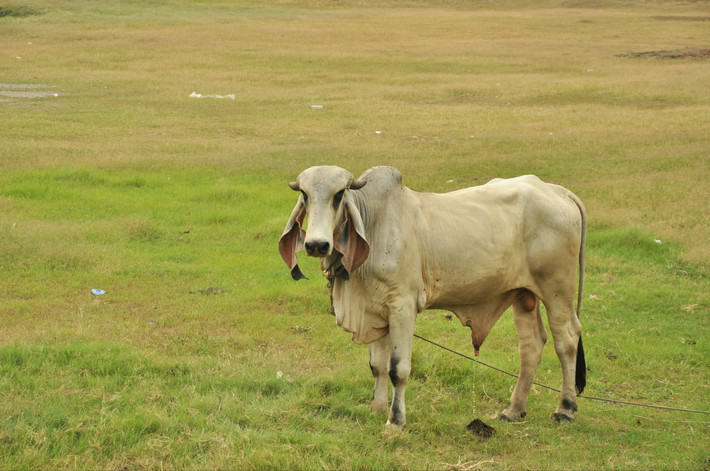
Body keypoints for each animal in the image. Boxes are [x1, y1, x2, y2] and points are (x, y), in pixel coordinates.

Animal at [280, 168, 588, 430]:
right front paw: (377, 409)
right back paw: (513, 410)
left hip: (557, 290)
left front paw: (395, 420)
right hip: (524, 295)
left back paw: (565, 408)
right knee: (532, 345)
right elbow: (377, 366)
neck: (375, 223)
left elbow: (398, 369)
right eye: (305, 194)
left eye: (339, 194)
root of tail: (557, 191)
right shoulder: (377, 309)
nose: (317, 245)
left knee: (567, 340)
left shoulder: (402, 307)